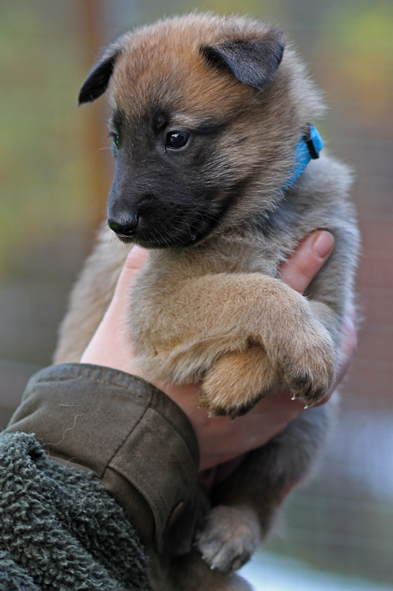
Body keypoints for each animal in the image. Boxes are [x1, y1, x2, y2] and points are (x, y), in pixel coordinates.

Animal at [54, 13, 358, 591]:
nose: (119, 225)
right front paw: (248, 372)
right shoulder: (156, 305)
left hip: (304, 431)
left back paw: (233, 527)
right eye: (117, 140)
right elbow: (255, 287)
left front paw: (246, 375)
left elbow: (303, 309)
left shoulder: (335, 300)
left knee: (257, 497)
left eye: (175, 138)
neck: (258, 213)